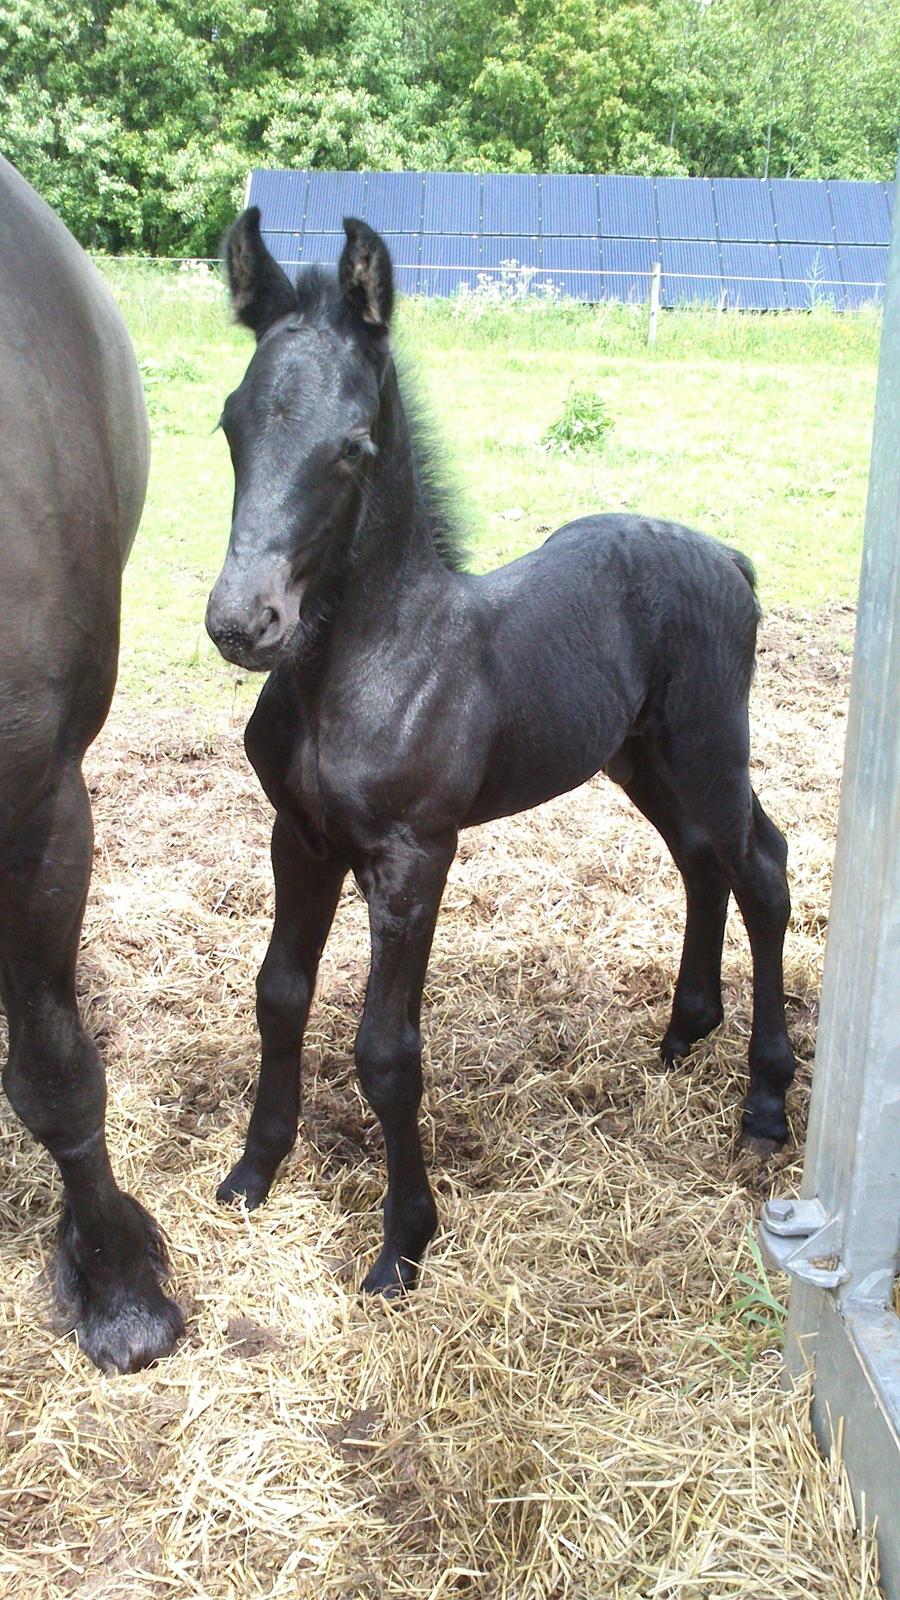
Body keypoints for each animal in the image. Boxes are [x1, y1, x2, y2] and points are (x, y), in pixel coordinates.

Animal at [204, 206, 791, 1292]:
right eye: (232, 424)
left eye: (352, 448)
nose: (244, 624)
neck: (362, 661)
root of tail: (730, 558)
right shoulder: (299, 838)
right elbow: (279, 995)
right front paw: (252, 1174)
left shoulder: (413, 856)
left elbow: (387, 1051)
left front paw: (403, 1244)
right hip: (639, 755)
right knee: (702, 861)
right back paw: (684, 1030)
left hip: (709, 746)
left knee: (761, 870)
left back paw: (766, 1105)